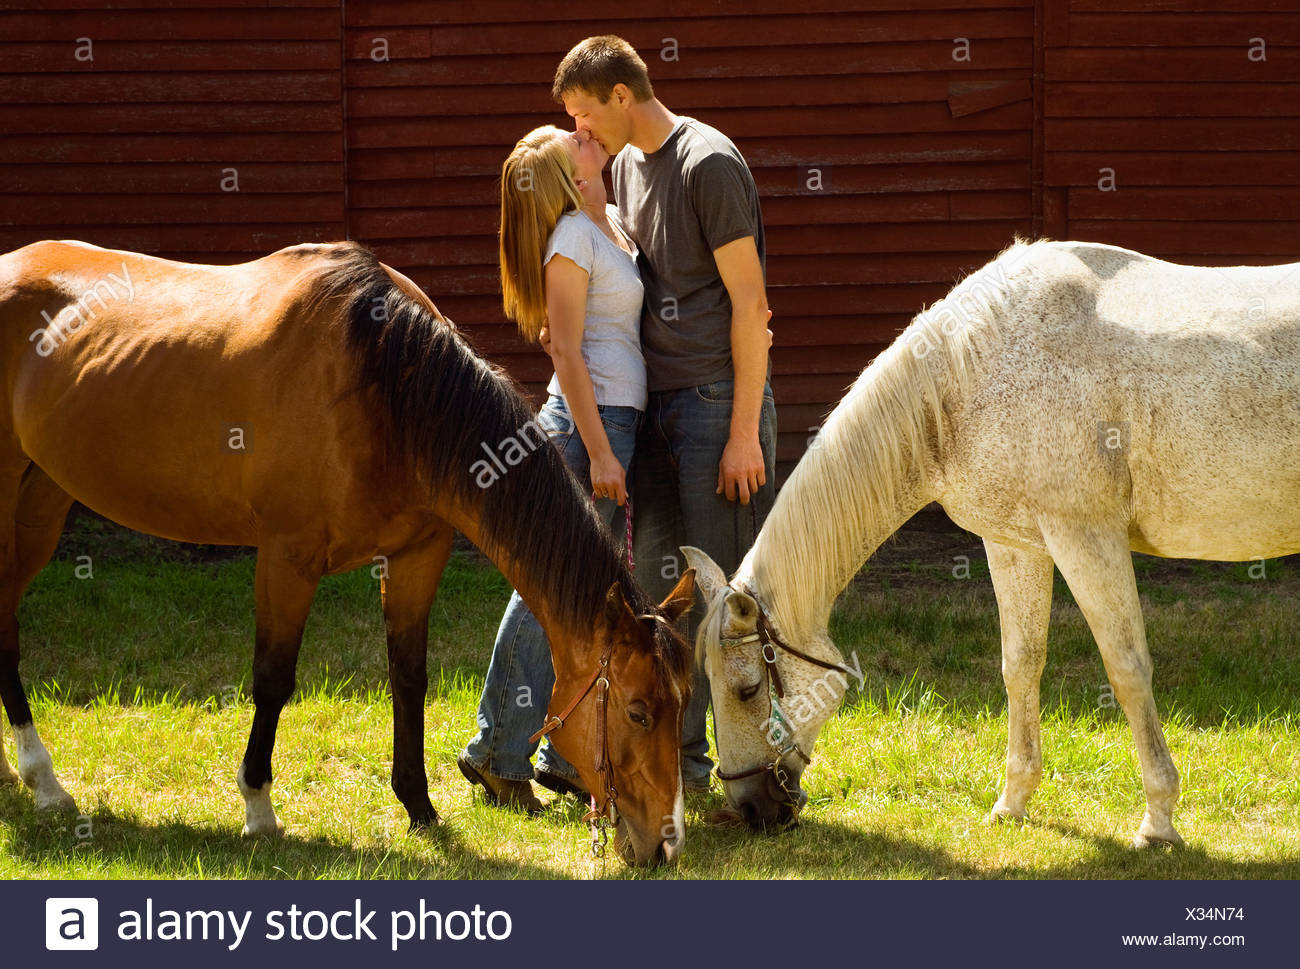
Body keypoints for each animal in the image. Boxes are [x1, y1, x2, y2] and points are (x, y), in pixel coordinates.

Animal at [0, 238, 702, 863]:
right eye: (638, 712)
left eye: (684, 704)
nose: (666, 845)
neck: (384, 388)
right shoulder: (287, 559)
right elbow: (273, 680)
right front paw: (258, 808)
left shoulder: (418, 558)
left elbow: (409, 678)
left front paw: (419, 807)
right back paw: (44, 780)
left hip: (43, 499)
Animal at [681, 240, 1300, 848]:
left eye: (745, 690)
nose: (751, 807)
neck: (971, 371)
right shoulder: (1016, 545)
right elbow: (1020, 665)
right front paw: (1013, 801)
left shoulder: (1085, 536)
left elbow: (1127, 670)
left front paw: (1158, 820)